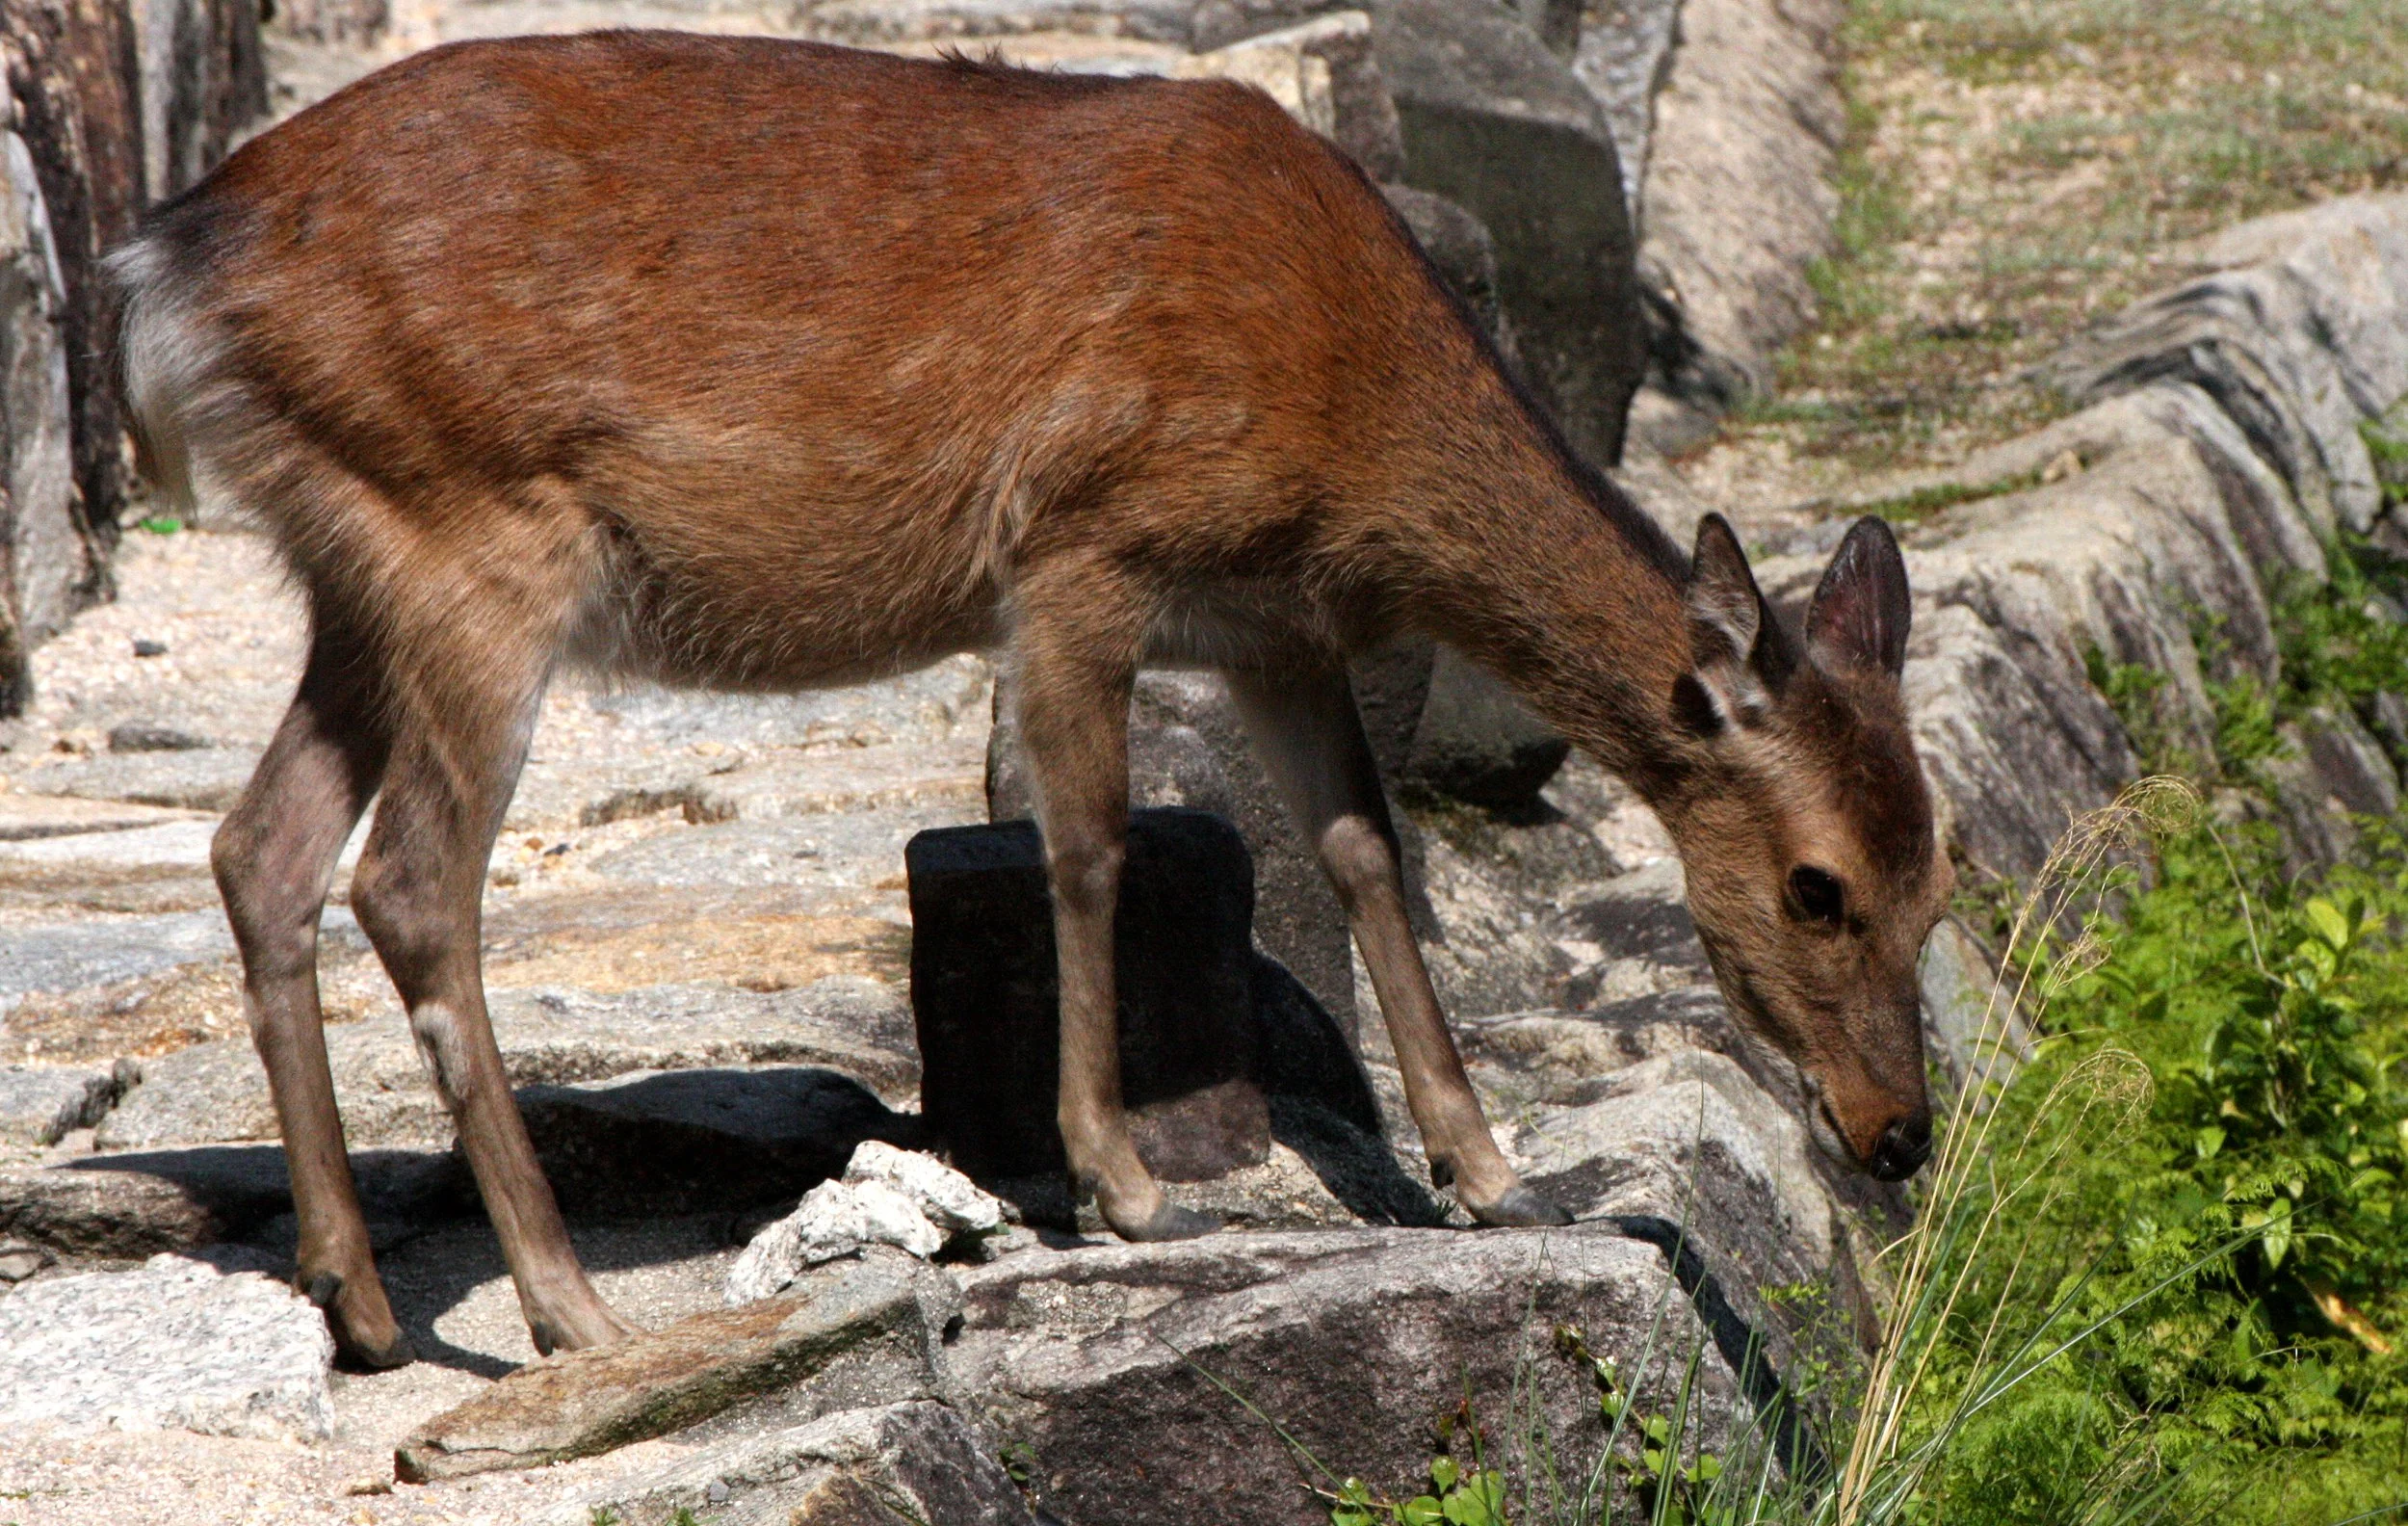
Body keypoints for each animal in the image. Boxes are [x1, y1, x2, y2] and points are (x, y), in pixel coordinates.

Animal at [109, 30, 1952, 1369]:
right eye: (1817, 887)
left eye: (1944, 884)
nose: (1898, 1136)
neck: (1350, 424)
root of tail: (160, 268)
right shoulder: (1082, 548)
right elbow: (1085, 845)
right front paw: (1126, 1184)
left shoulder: (1274, 625)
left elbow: (1366, 848)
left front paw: (1491, 1171)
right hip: (472, 531)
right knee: (410, 880)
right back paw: (568, 1306)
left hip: (356, 560)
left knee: (259, 845)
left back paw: (359, 1300)